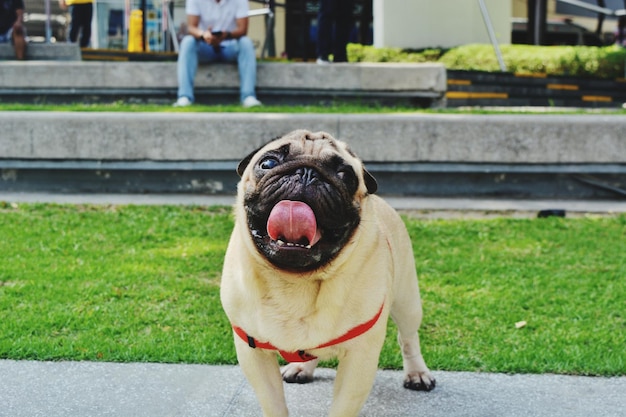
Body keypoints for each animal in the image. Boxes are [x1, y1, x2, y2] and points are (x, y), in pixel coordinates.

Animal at [221, 128, 434, 414]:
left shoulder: (359, 359)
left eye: (344, 175)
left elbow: (342, 407)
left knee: (408, 338)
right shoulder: (252, 353)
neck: (296, 280)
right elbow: (273, 403)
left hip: (407, 302)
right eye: (268, 163)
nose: (307, 172)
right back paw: (301, 367)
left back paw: (417, 373)